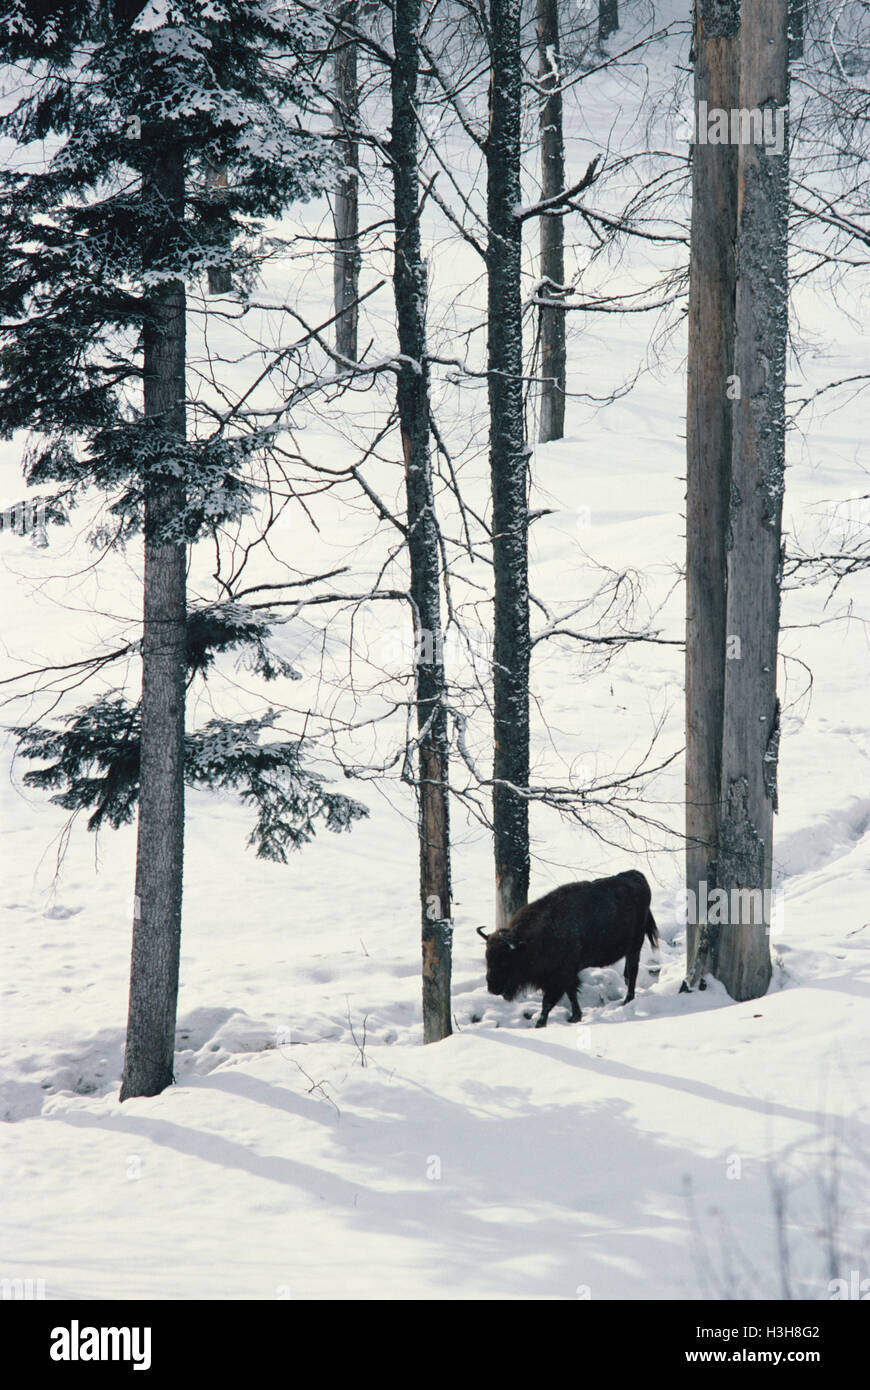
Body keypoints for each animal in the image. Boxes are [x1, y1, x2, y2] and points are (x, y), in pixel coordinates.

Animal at [478, 872, 653, 1028]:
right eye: (487, 957)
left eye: (505, 960)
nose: (492, 987)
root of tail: (636, 876)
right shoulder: (564, 977)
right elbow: (571, 994)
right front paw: (575, 1016)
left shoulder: (560, 977)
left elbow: (549, 1002)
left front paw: (542, 1023)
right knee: (628, 973)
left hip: (635, 947)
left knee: (633, 972)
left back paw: (627, 1000)